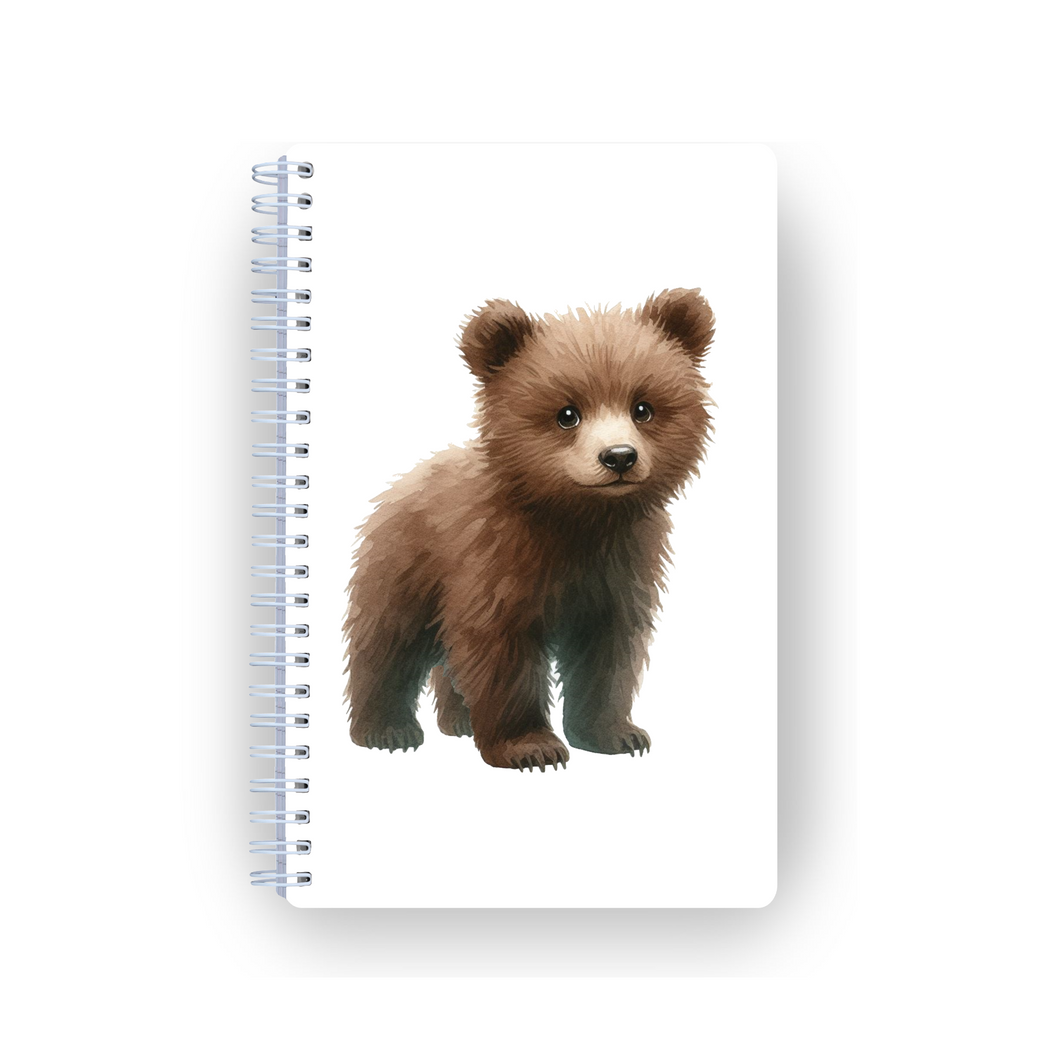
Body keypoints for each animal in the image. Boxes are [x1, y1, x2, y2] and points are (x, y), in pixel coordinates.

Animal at [343, 288, 715, 771]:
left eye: (643, 408)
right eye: (567, 414)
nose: (618, 456)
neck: (577, 520)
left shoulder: (620, 568)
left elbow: (608, 654)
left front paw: (617, 733)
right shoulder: (496, 562)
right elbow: (500, 650)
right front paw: (530, 746)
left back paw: (458, 721)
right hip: (403, 564)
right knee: (388, 643)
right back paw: (386, 729)